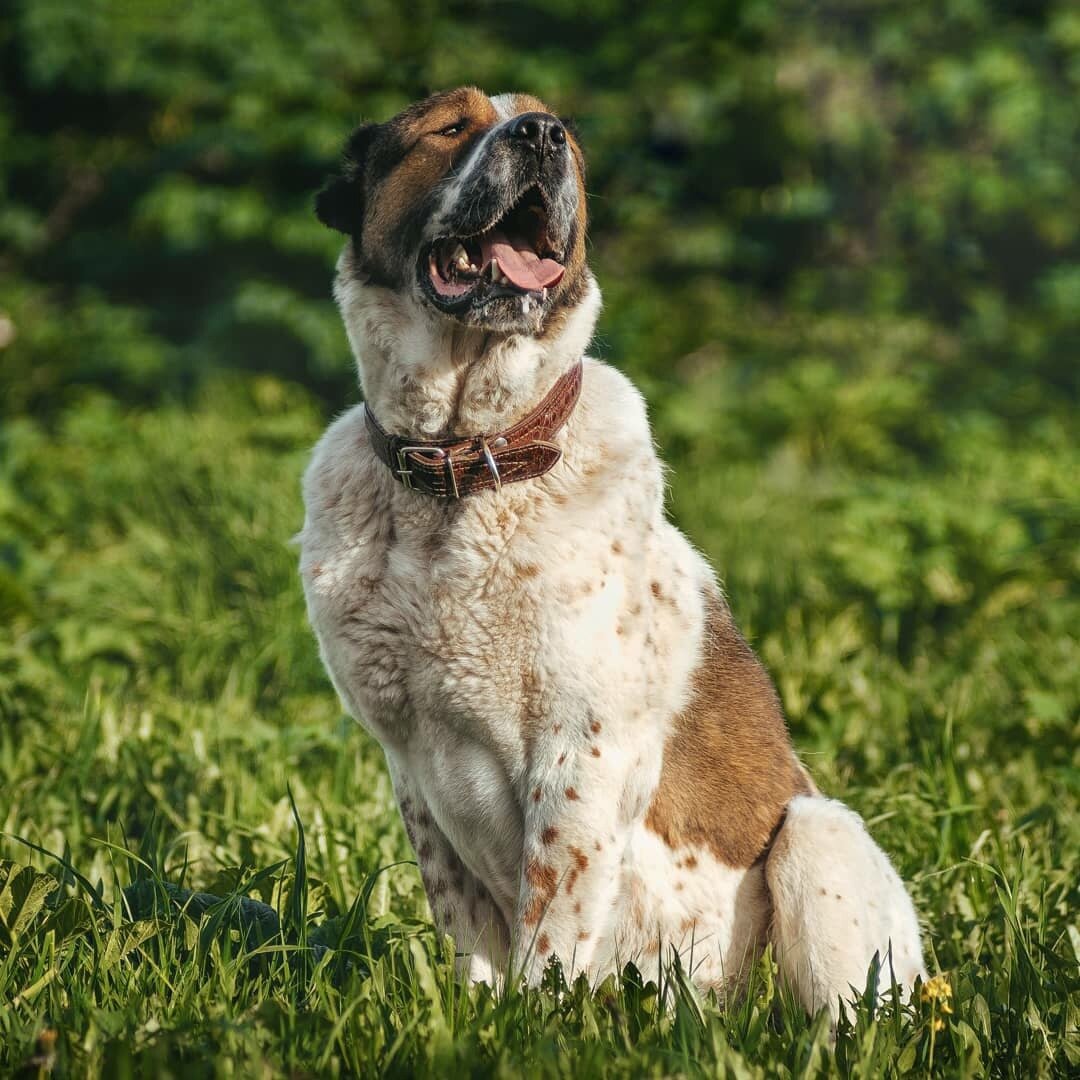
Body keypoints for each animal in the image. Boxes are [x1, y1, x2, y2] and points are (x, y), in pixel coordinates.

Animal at [300, 86, 924, 1019]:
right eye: (450, 127)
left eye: (562, 131)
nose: (540, 135)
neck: (463, 472)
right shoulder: (410, 765)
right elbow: (469, 931)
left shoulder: (580, 752)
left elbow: (551, 928)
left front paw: (529, 1029)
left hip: (818, 834)